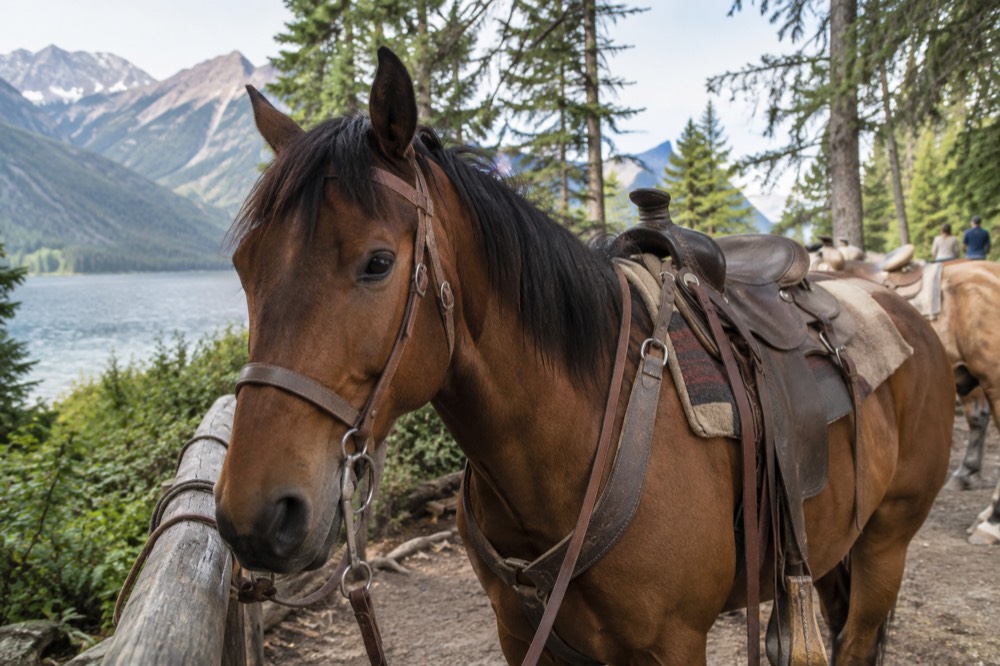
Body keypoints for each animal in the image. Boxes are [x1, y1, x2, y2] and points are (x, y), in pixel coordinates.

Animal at [214, 48, 955, 665]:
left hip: (886, 545)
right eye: (244, 266)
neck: (569, 446)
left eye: (376, 263)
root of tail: (907, 317)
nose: (256, 518)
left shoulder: (672, 644)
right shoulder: (524, 635)